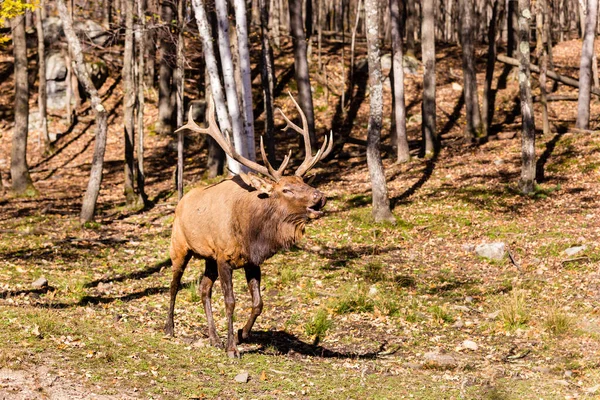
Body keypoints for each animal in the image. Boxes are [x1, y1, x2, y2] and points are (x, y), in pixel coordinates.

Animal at [164, 94, 332, 360]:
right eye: (286, 189)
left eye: (303, 181)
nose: (319, 196)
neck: (250, 233)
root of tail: (181, 201)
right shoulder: (224, 257)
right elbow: (230, 301)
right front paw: (232, 348)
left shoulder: (251, 261)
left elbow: (258, 303)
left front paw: (242, 334)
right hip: (179, 246)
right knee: (174, 284)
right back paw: (170, 328)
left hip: (208, 258)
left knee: (203, 289)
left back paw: (214, 338)